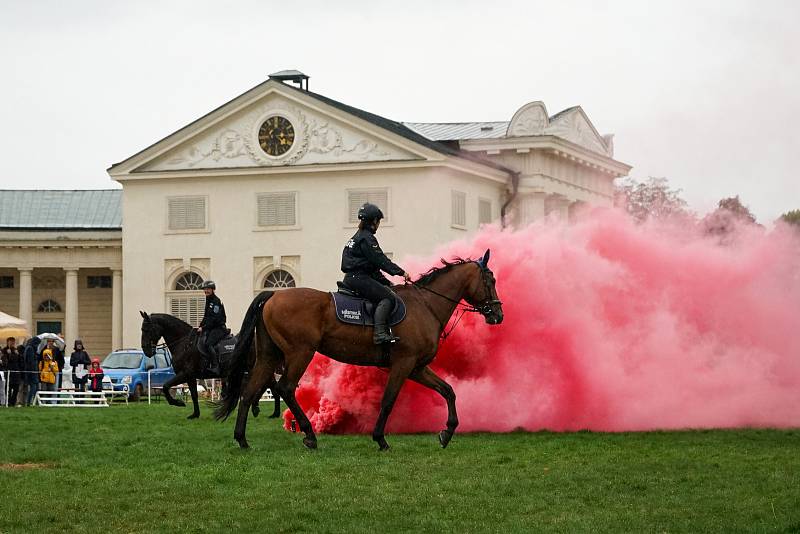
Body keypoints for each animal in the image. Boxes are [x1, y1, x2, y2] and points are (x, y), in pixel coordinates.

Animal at [140, 312, 282, 420]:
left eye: (146, 330)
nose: (146, 351)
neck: (185, 343)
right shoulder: (190, 377)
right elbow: (193, 394)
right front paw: (195, 414)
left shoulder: (185, 374)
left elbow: (165, 386)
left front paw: (178, 403)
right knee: (271, 387)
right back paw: (269, 412)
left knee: (270, 388)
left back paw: (264, 410)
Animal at [212, 251, 500, 452]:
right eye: (490, 279)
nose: (498, 314)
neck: (425, 305)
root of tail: (272, 294)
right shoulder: (403, 364)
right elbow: (388, 400)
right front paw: (380, 439)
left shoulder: (417, 367)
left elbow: (448, 391)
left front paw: (447, 433)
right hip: (299, 353)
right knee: (285, 388)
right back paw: (309, 436)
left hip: (269, 357)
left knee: (249, 392)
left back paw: (242, 440)